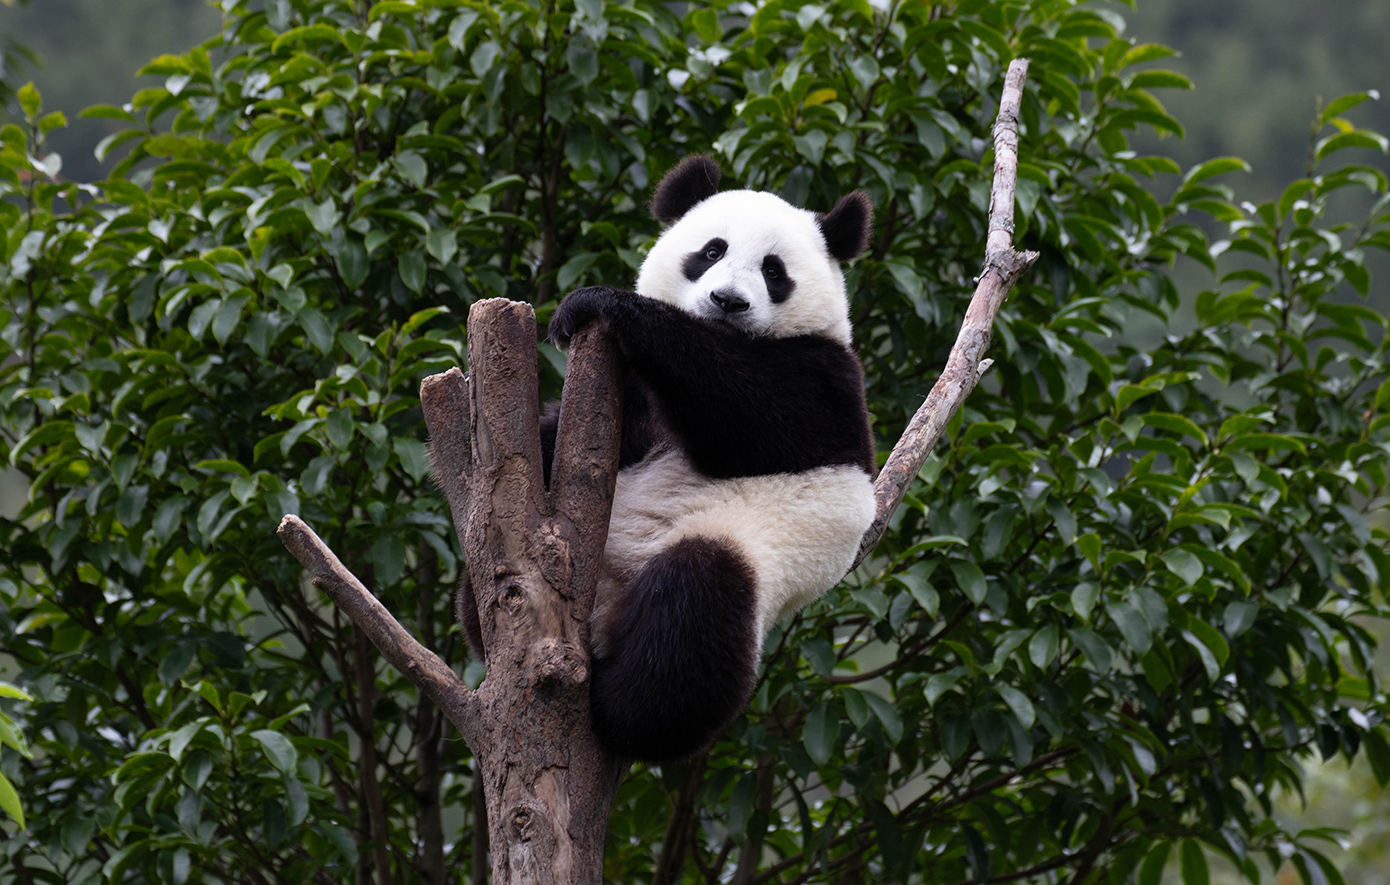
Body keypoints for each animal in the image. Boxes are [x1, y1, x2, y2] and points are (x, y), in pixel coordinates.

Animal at [469, 155, 878, 761]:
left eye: (773, 271)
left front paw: (600, 303)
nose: (728, 301)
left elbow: (755, 415)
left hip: (741, 552)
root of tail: (604, 620)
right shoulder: (633, 397)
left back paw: (623, 710)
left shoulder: (829, 381)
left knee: (692, 614)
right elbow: (560, 434)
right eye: (711, 250)